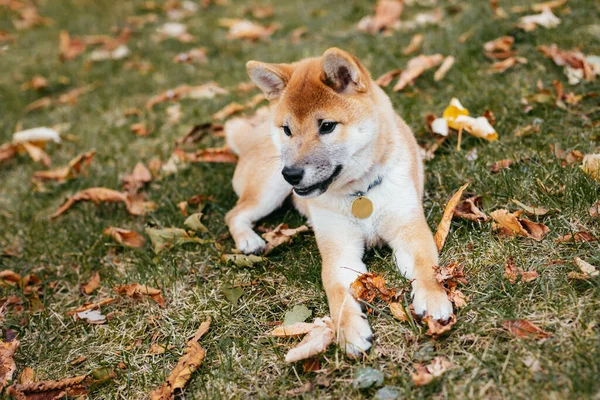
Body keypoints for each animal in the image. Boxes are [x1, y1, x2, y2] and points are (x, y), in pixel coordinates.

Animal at [224, 47, 450, 356]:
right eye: (287, 129)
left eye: (327, 126)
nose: (291, 174)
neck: (359, 193)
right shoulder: (339, 250)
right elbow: (337, 292)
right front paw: (349, 329)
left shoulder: (409, 229)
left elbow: (427, 267)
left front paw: (433, 297)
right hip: (269, 190)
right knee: (234, 213)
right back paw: (248, 239)